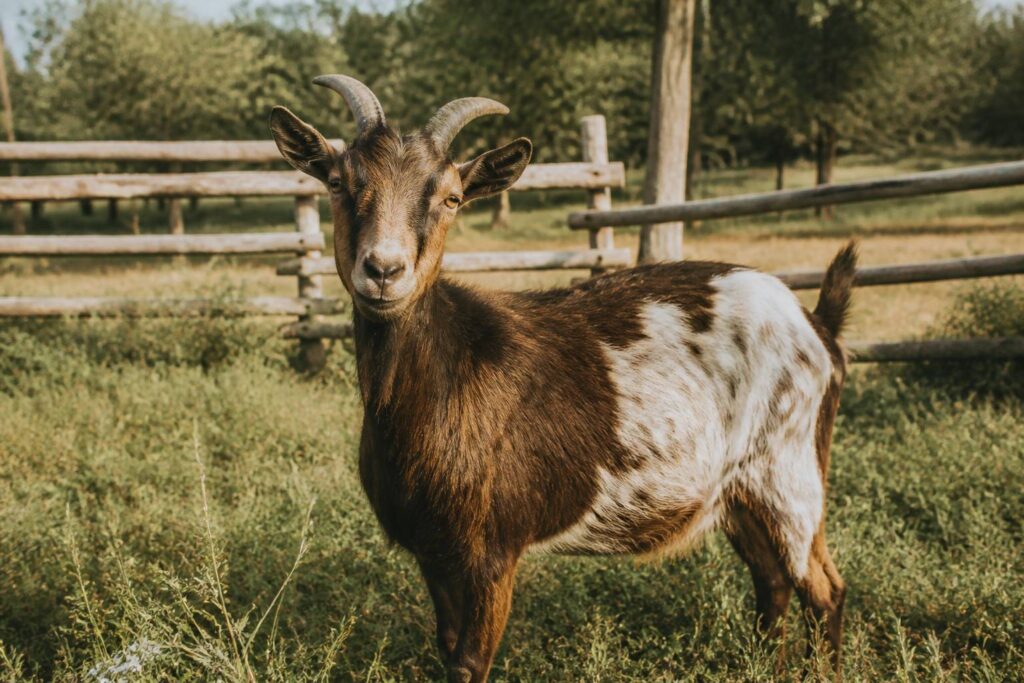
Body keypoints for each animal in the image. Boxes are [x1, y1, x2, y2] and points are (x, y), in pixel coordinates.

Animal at [271, 74, 857, 683]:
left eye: (451, 198)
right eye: (337, 182)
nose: (384, 270)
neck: (446, 379)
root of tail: (818, 324)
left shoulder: (493, 549)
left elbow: (471, 662)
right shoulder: (433, 550)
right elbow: (448, 647)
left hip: (790, 472)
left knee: (824, 591)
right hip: (737, 492)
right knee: (772, 581)